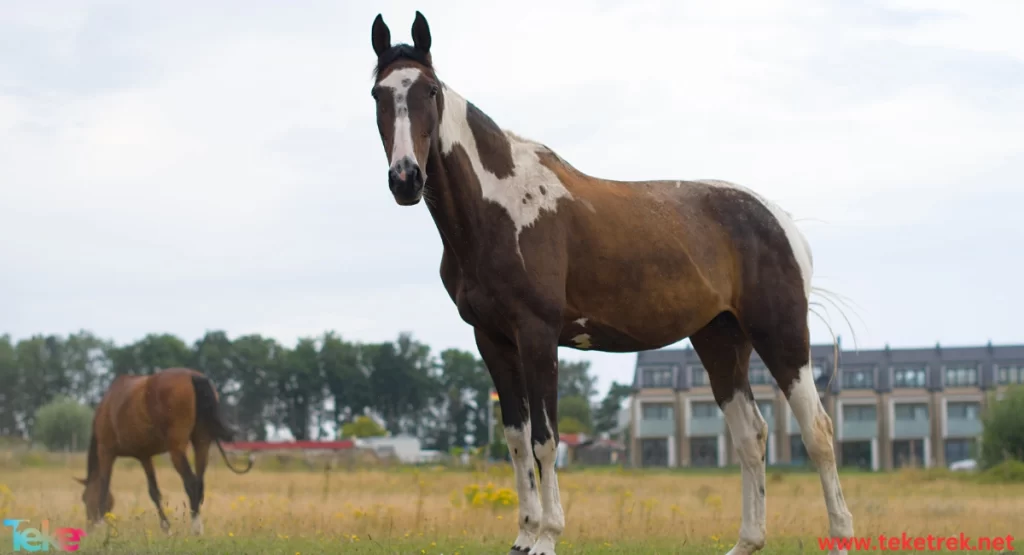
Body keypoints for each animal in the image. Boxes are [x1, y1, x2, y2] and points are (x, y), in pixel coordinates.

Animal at [75, 370, 251, 536]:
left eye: (84, 498)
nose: (89, 528)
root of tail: (193, 377)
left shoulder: (106, 452)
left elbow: (103, 488)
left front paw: (100, 526)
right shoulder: (144, 456)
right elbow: (154, 492)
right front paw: (167, 529)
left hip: (176, 450)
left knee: (191, 483)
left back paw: (195, 529)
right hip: (202, 443)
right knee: (200, 483)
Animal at [368, 11, 856, 555]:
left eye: (429, 90)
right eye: (378, 94)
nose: (406, 178)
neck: (498, 207)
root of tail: (782, 221)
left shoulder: (537, 335)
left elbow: (544, 439)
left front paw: (547, 536)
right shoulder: (491, 339)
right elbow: (515, 440)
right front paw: (523, 535)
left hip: (781, 335)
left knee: (818, 431)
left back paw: (840, 535)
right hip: (720, 340)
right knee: (751, 435)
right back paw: (747, 541)